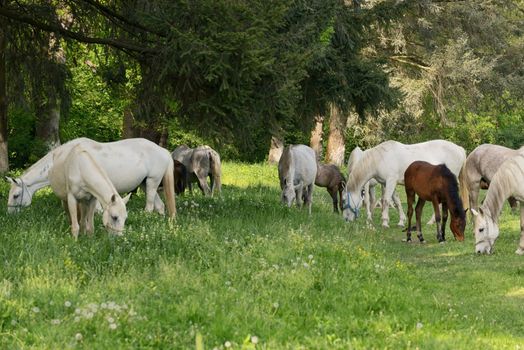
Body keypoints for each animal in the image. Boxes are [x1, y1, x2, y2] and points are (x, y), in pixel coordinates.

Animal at [6, 137, 176, 217]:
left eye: (15, 195)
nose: (10, 214)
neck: (68, 156)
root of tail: (163, 150)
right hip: (144, 184)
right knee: (160, 206)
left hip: (152, 182)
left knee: (150, 206)